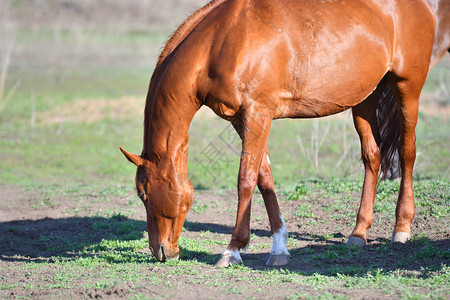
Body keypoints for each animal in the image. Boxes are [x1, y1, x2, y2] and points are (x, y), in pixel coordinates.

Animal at [121, 0, 438, 268]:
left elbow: (246, 180)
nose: (160, 251)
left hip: (407, 87)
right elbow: (265, 178)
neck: (221, 42)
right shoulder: (241, 119)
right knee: (372, 157)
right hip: (364, 99)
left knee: (408, 152)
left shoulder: (257, 112)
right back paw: (359, 233)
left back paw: (402, 228)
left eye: (143, 194)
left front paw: (233, 250)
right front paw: (279, 249)